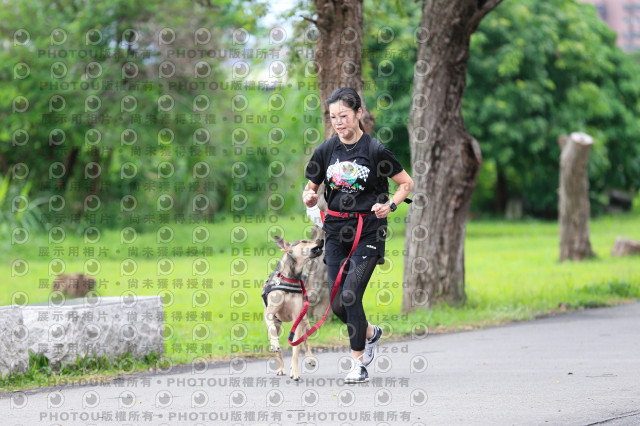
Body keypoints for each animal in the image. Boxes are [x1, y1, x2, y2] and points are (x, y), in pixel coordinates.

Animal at [262, 236, 322, 380]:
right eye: (304, 241)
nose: (321, 240)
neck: (290, 278)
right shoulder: (269, 313)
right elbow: (272, 332)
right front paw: (275, 344)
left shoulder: (297, 318)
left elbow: (296, 349)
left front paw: (294, 372)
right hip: (277, 323)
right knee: (275, 339)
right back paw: (281, 368)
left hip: (304, 321)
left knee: (305, 341)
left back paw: (310, 358)